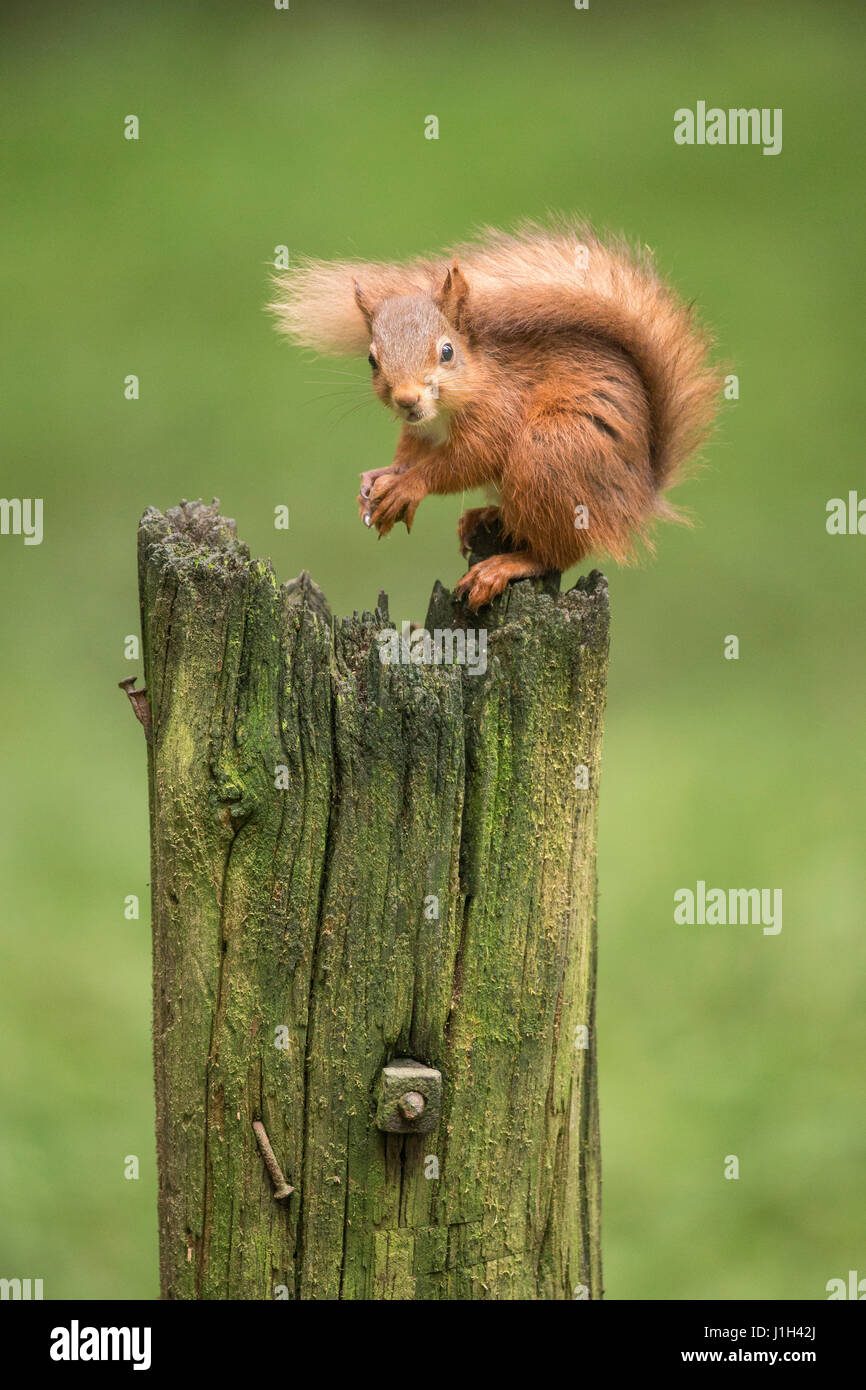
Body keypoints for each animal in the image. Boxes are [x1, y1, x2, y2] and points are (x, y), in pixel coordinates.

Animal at [273, 221, 722, 608]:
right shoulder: (420, 432)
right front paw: (380, 478)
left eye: (447, 351)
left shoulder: (498, 412)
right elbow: (409, 454)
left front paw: (406, 487)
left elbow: (468, 461)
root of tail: (639, 498)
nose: (406, 400)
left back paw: (504, 566)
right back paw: (484, 516)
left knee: (557, 552)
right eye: (371, 359)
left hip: (551, 454)